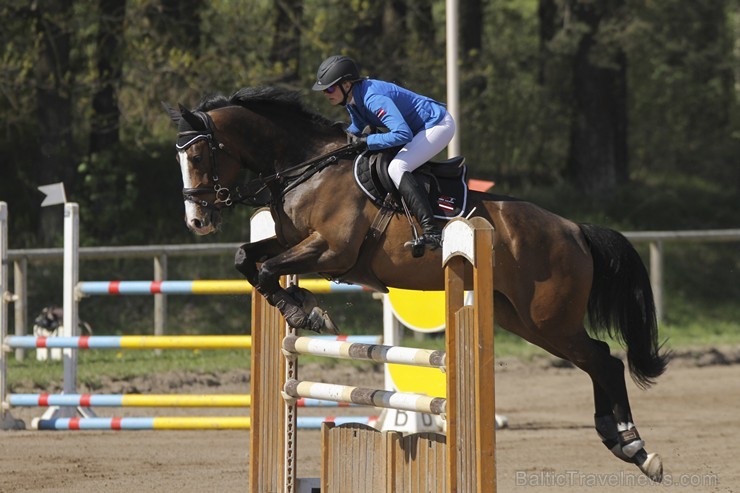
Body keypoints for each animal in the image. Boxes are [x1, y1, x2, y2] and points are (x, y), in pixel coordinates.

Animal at [165, 85, 668, 480]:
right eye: (181, 158)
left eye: (198, 155)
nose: (196, 221)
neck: (307, 168)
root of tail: (574, 229)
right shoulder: (291, 242)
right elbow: (247, 259)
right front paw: (303, 304)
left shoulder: (331, 251)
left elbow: (268, 270)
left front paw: (305, 310)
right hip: (525, 320)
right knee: (595, 362)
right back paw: (621, 442)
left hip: (549, 318)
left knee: (605, 361)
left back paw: (636, 447)